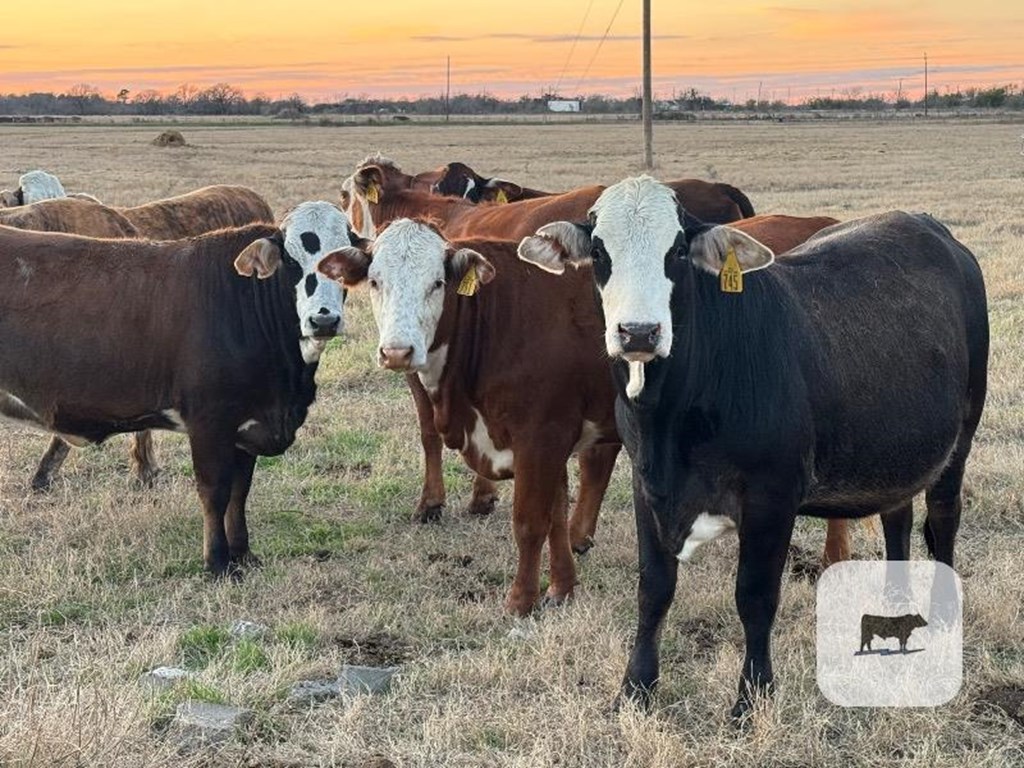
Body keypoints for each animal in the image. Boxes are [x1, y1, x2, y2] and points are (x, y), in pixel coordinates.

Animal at [0, 201, 350, 573]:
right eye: (291, 260)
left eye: (344, 262)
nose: (324, 319)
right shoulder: (209, 422)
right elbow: (215, 492)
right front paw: (217, 562)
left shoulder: (247, 423)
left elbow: (239, 492)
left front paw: (243, 553)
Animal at [319, 219, 618, 618]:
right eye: (375, 281)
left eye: (437, 283)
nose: (397, 352)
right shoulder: (552, 439)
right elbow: (554, 515)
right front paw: (561, 588)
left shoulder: (542, 436)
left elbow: (530, 521)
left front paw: (521, 601)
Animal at [524, 174, 987, 720]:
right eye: (598, 251)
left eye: (677, 250)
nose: (638, 332)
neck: (673, 416)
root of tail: (929, 226)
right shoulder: (645, 483)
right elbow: (653, 589)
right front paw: (635, 687)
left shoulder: (771, 495)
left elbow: (755, 595)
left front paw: (752, 696)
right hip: (894, 447)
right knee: (898, 514)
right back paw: (895, 601)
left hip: (961, 435)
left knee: (943, 515)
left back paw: (942, 612)